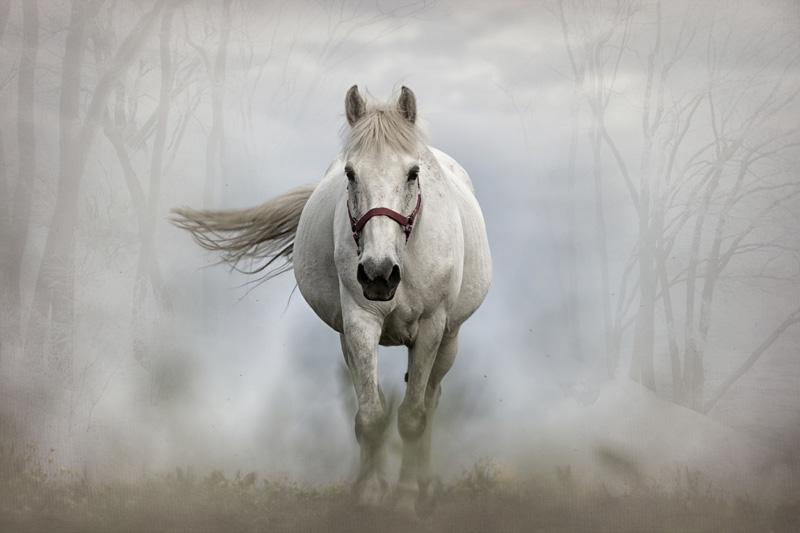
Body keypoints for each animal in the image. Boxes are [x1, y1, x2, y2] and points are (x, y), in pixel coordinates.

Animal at [172, 85, 492, 513]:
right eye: (351, 173)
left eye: (413, 173)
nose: (378, 274)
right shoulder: (359, 323)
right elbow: (371, 415)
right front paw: (370, 494)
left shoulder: (430, 328)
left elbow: (412, 416)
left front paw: (407, 498)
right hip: (348, 339)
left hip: (449, 339)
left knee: (431, 399)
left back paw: (424, 483)